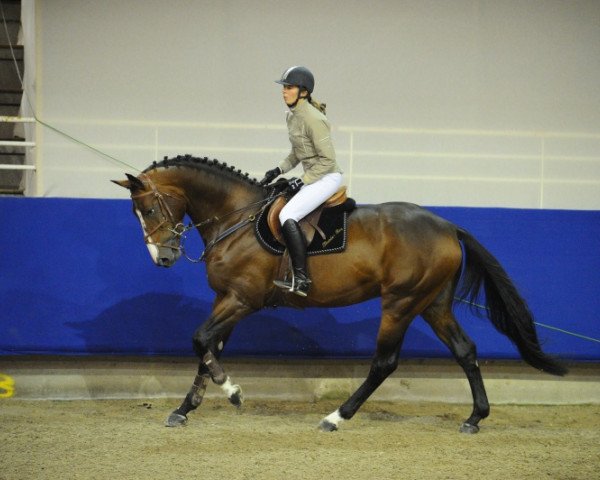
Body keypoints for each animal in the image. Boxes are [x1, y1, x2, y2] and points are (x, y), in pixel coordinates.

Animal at [112, 156, 568, 434]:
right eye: (137, 213)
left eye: (148, 209)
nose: (163, 257)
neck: (235, 218)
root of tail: (448, 226)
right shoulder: (225, 299)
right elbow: (208, 349)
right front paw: (184, 409)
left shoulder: (241, 300)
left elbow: (200, 341)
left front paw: (233, 392)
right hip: (432, 303)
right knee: (465, 350)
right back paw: (475, 417)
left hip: (400, 303)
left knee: (384, 362)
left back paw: (336, 417)